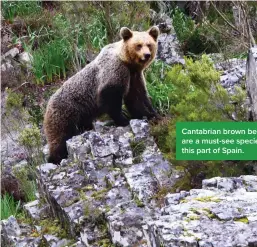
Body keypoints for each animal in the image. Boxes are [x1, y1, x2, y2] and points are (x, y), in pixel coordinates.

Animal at [44, 26, 160, 164]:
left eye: (149, 44)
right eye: (138, 45)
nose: (146, 55)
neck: (128, 63)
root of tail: (47, 105)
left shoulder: (134, 77)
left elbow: (137, 97)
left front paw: (150, 114)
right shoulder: (114, 72)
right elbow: (111, 99)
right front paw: (124, 119)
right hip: (66, 113)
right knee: (61, 137)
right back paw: (55, 158)